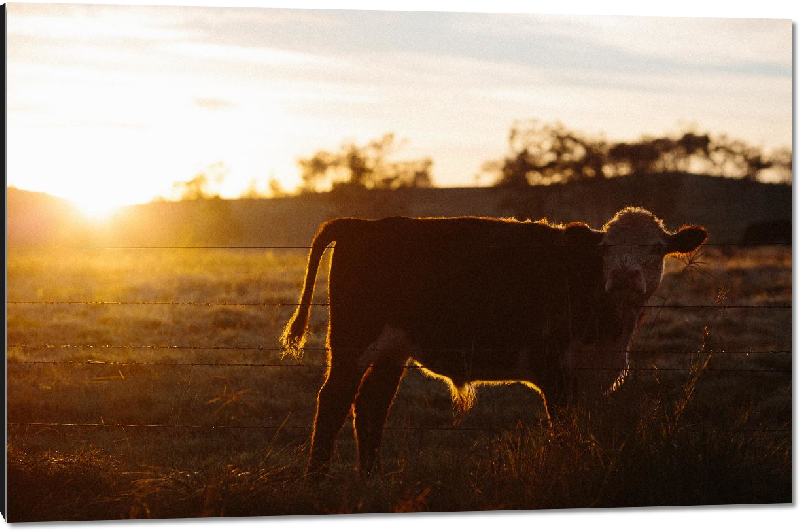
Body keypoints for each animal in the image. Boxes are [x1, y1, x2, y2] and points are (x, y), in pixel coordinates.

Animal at [282, 208, 708, 478]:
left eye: (657, 248)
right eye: (604, 249)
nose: (623, 275)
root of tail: (363, 225)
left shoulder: (590, 376)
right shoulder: (554, 371)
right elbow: (563, 430)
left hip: (392, 350)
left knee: (371, 406)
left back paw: (372, 480)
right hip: (352, 342)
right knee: (334, 401)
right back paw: (316, 482)